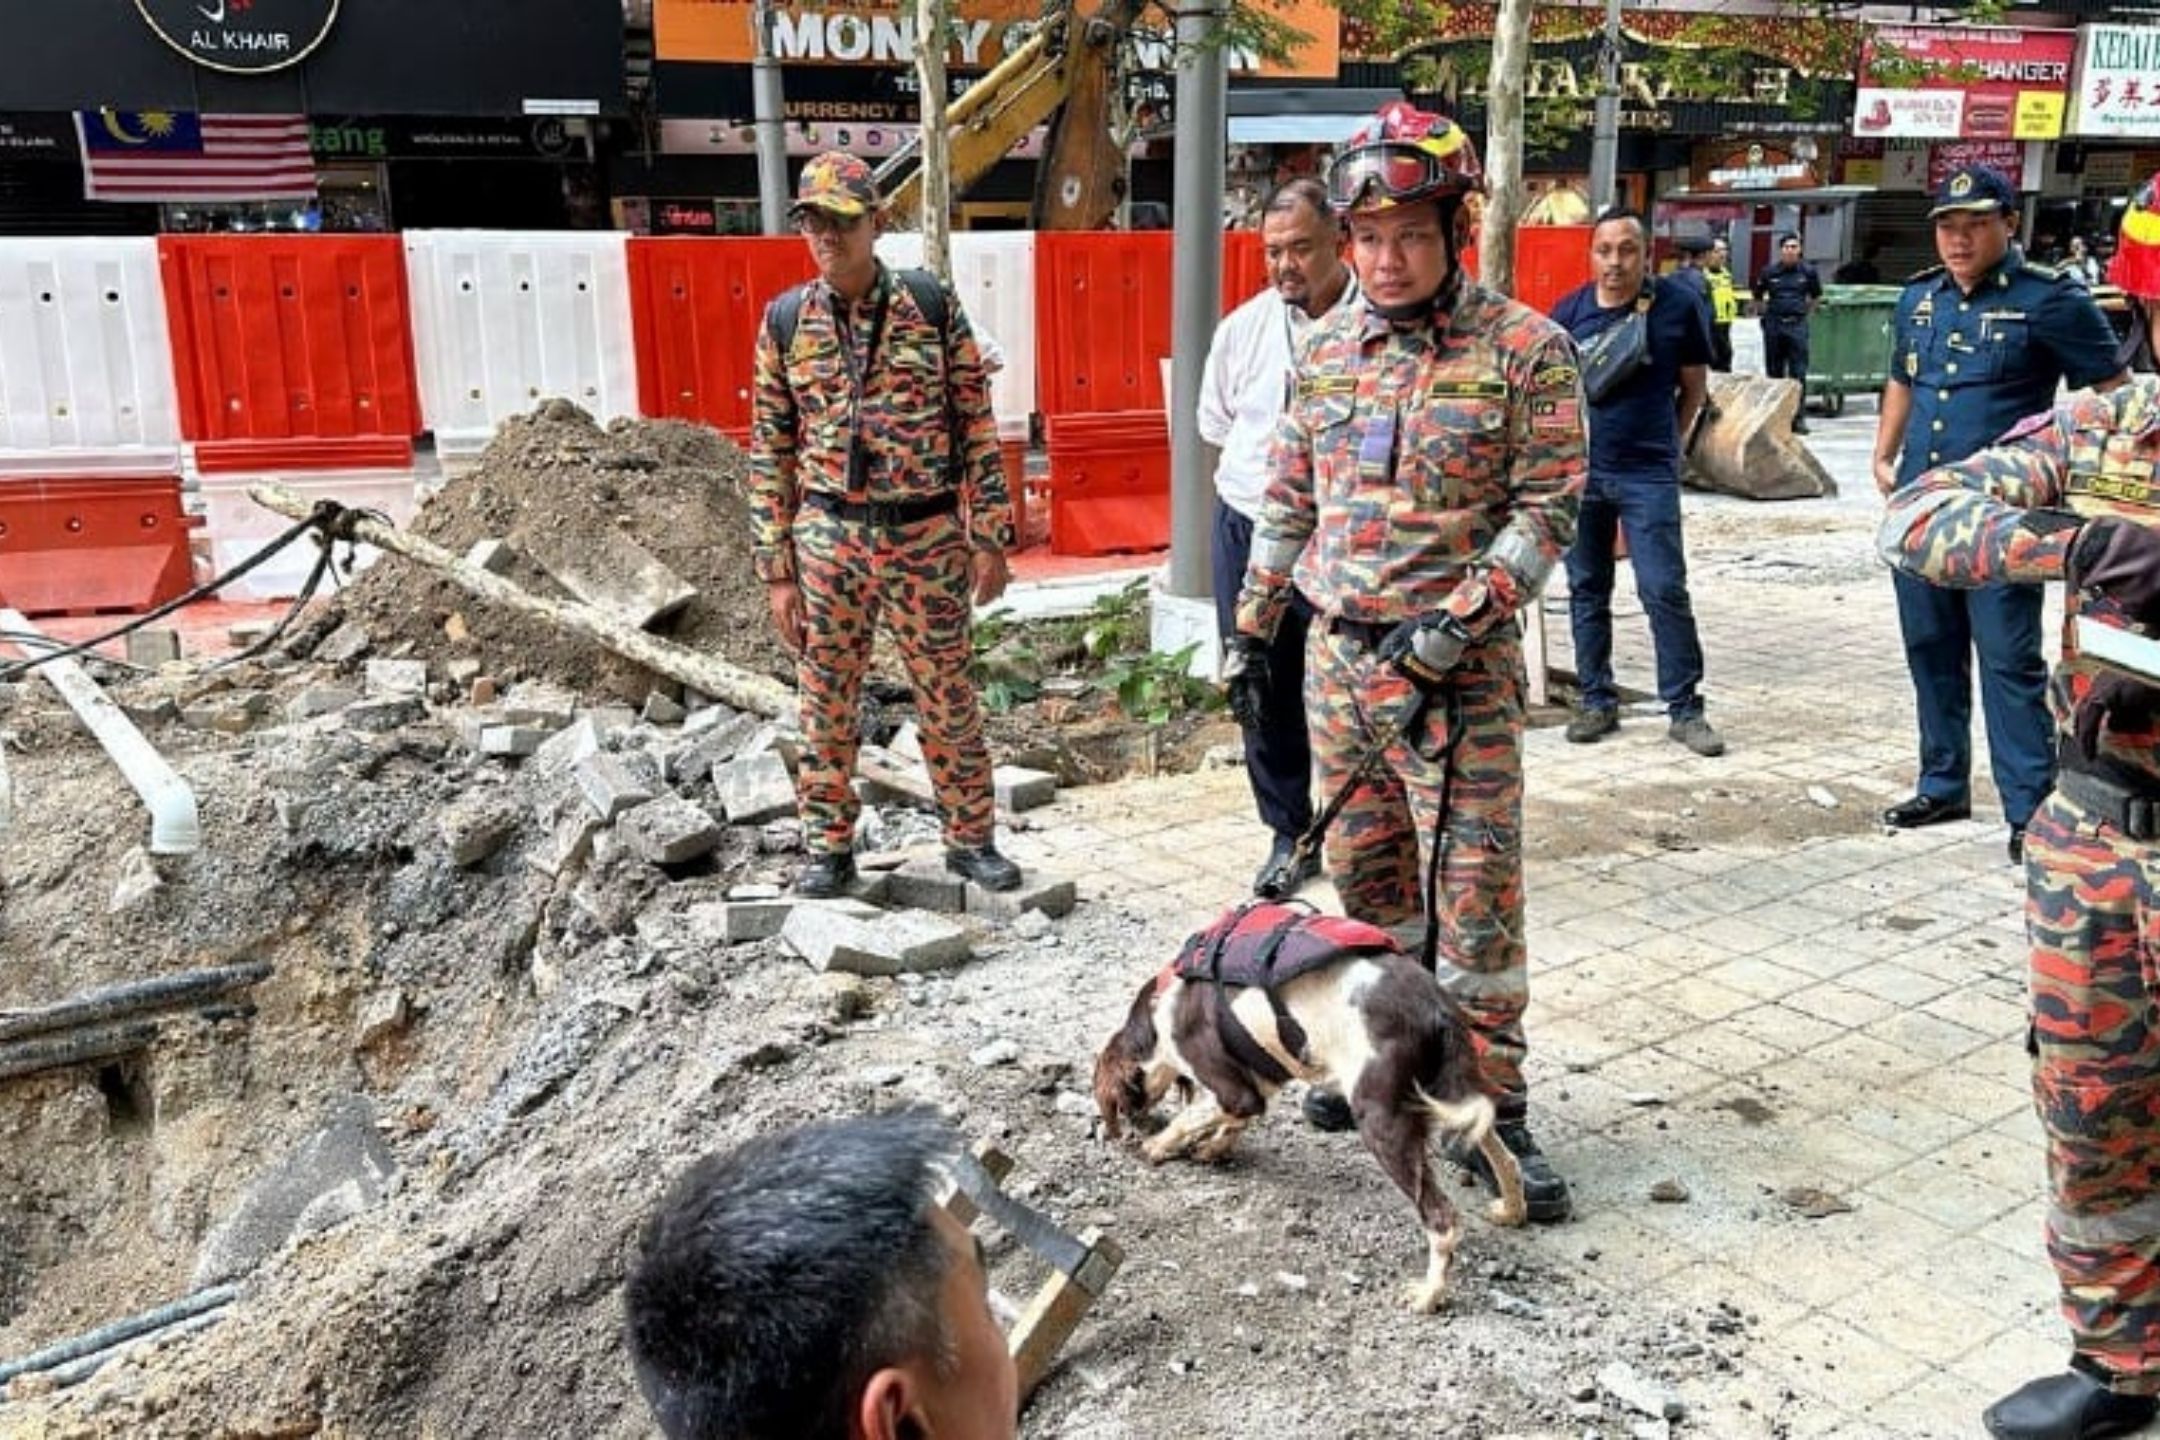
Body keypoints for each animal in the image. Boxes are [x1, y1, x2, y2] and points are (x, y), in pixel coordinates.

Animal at [1088, 906, 1529, 1312]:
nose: (1131, 1125)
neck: (1159, 1013)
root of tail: (1438, 1008)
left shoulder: (1234, 1089)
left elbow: (1191, 1117)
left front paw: (1157, 1146)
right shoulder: (1259, 1080)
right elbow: (1233, 1121)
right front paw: (1212, 1148)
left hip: (1382, 1120)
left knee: (1443, 1219)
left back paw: (1429, 1294)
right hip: (1456, 1091)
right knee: (1504, 1156)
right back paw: (1511, 1209)